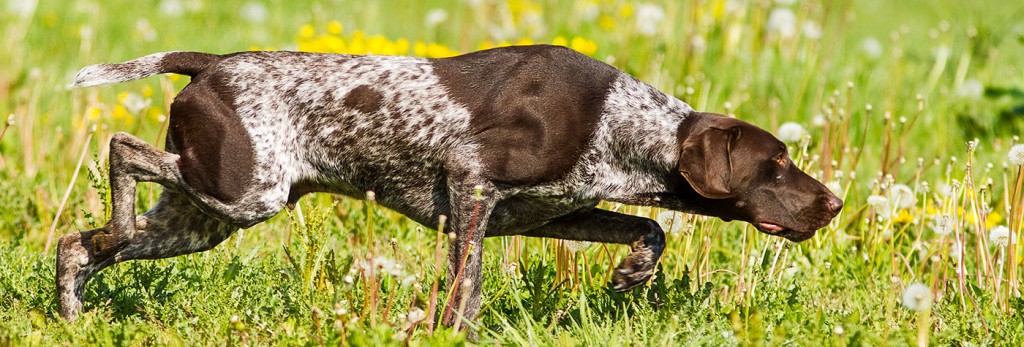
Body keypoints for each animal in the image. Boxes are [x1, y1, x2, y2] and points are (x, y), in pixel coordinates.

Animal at [58, 44, 839, 325]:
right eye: (775, 164)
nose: (833, 202)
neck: (620, 122)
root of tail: (212, 64)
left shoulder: (547, 212)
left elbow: (650, 226)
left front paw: (632, 274)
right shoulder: (470, 180)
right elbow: (468, 284)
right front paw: (451, 333)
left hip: (203, 216)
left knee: (77, 245)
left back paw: (72, 309)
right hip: (244, 190)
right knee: (121, 150)